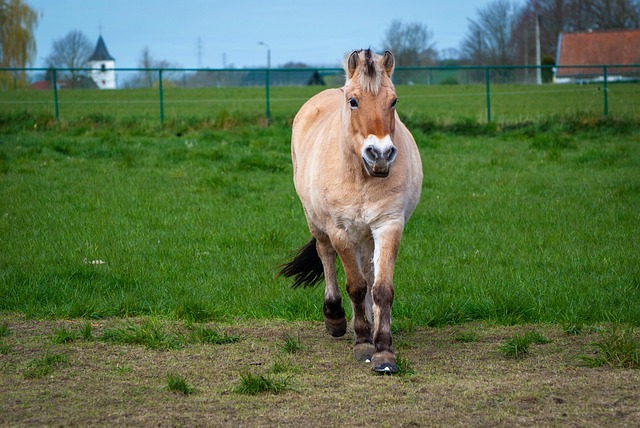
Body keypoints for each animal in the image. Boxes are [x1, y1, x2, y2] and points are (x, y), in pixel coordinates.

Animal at [278, 48, 420, 372]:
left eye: (393, 101)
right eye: (353, 101)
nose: (380, 154)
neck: (361, 176)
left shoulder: (388, 225)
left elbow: (380, 288)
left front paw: (383, 350)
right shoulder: (340, 230)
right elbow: (355, 285)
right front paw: (363, 343)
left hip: (366, 235)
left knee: (368, 271)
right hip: (318, 224)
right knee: (326, 255)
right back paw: (335, 317)